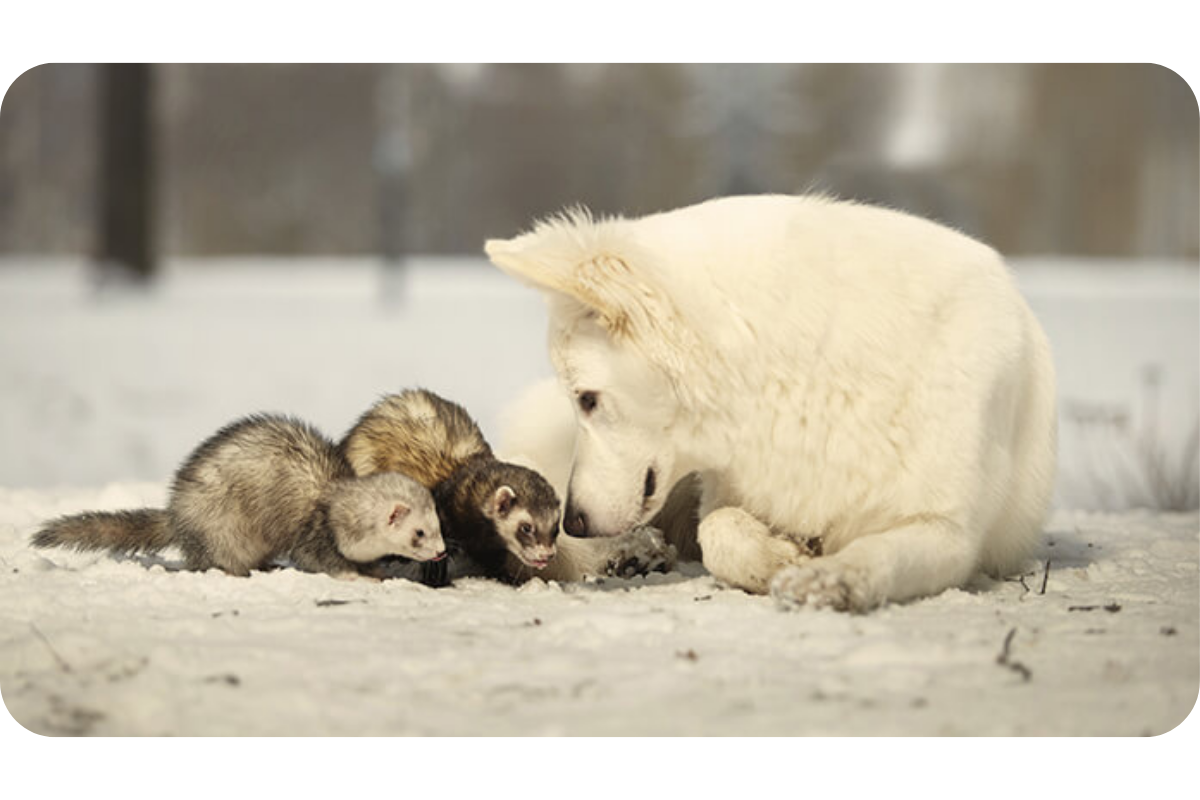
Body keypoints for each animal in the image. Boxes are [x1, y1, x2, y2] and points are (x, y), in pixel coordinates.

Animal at [482, 195, 1056, 614]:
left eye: (586, 398)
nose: (575, 520)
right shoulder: (725, 490)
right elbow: (718, 530)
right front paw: (778, 557)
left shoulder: (949, 532)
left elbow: (878, 550)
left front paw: (831, 576)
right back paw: (627, 553)